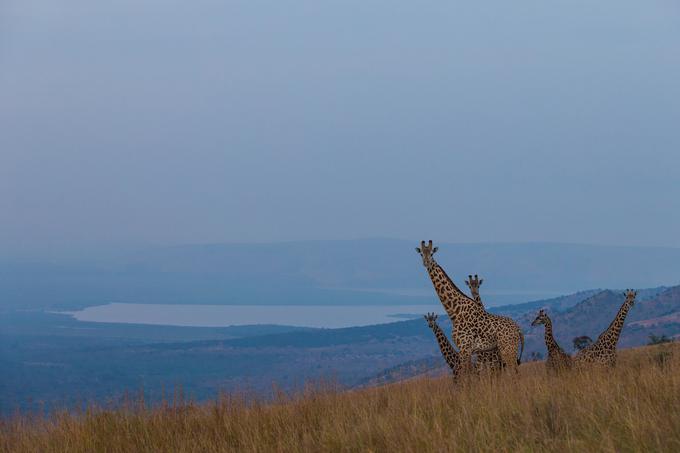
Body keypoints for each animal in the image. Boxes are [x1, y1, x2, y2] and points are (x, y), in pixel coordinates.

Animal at [414, 240, 524, 370]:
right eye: (421, 254)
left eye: (431, 254)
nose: (426, 262)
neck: (454, 311)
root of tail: (518, 329)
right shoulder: (467, 351)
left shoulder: (465, 348)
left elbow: (466, 374)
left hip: (508, 350)